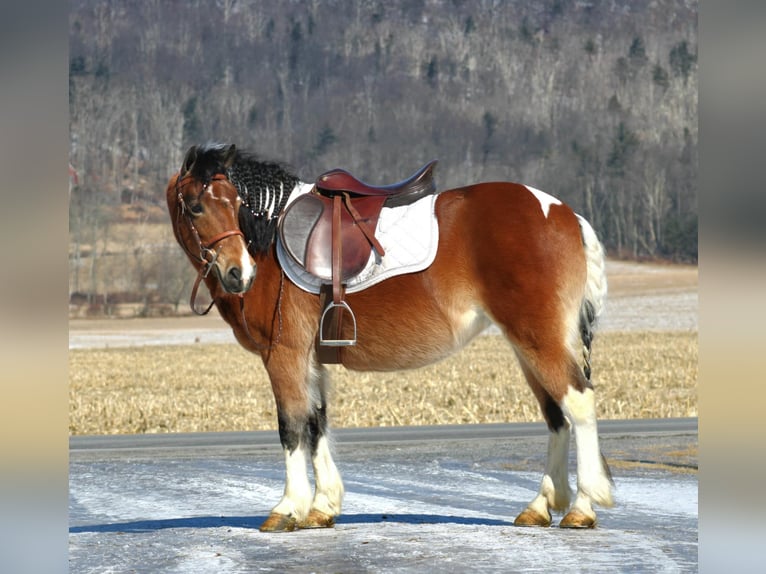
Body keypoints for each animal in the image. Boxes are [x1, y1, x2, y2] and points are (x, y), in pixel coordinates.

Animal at [165, 142, 616, 532]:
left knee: (578, 402)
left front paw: (288, 507)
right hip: (531, 345)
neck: (271, 238)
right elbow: (316, 423)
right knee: (556, 414)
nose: (239, 273)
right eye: (197, 206)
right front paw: (322, 506)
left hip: (537, 339)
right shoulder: (312, 359)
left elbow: (291, 426)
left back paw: (584, 505)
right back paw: (544, 507)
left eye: (236, 204)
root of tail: (564, 213)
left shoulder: (284, 354)